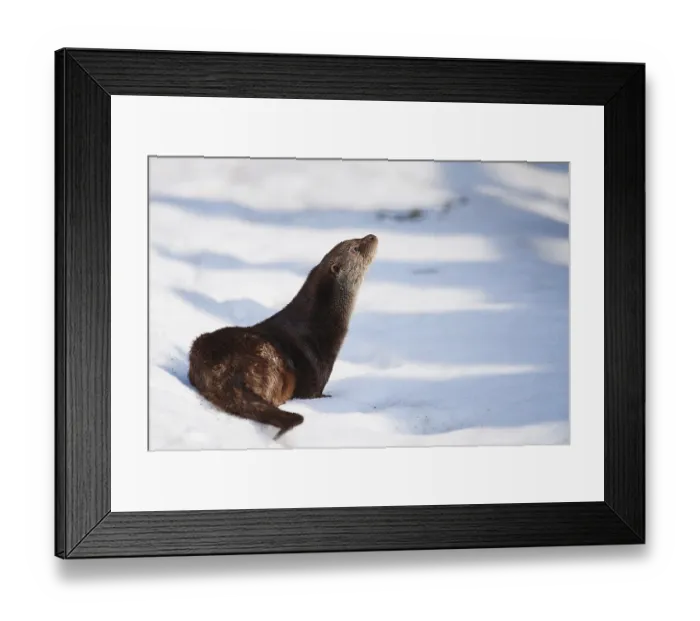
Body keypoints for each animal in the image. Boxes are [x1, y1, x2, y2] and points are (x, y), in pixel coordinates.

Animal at [187, 234, 378, 440]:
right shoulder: (318, 372)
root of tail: (224, 370)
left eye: (356, 238)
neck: (318, 324)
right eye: (355, 247)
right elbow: (313, 393)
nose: (372, 236)